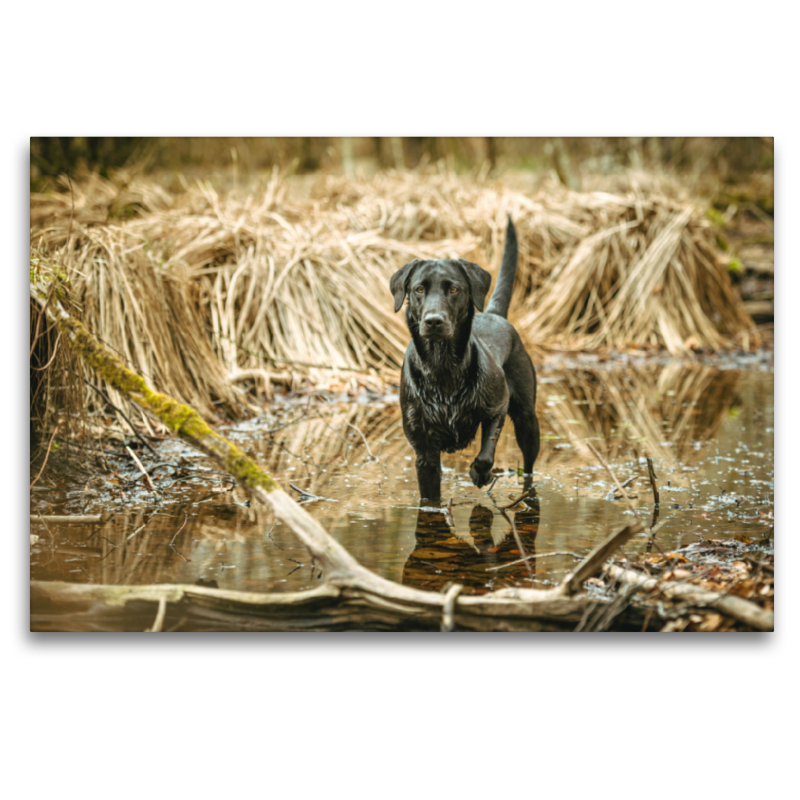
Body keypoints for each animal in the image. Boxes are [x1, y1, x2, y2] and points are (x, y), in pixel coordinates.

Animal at [390, 217, 540, 506]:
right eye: (419, 289)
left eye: (454, 289)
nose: (433, 321)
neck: (442, 368)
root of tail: (494, 313)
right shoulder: (424, 450)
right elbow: (430, 497)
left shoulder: (498, 406)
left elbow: (486, 452)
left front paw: (480, 474)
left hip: (527, 420)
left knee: (528, 466)